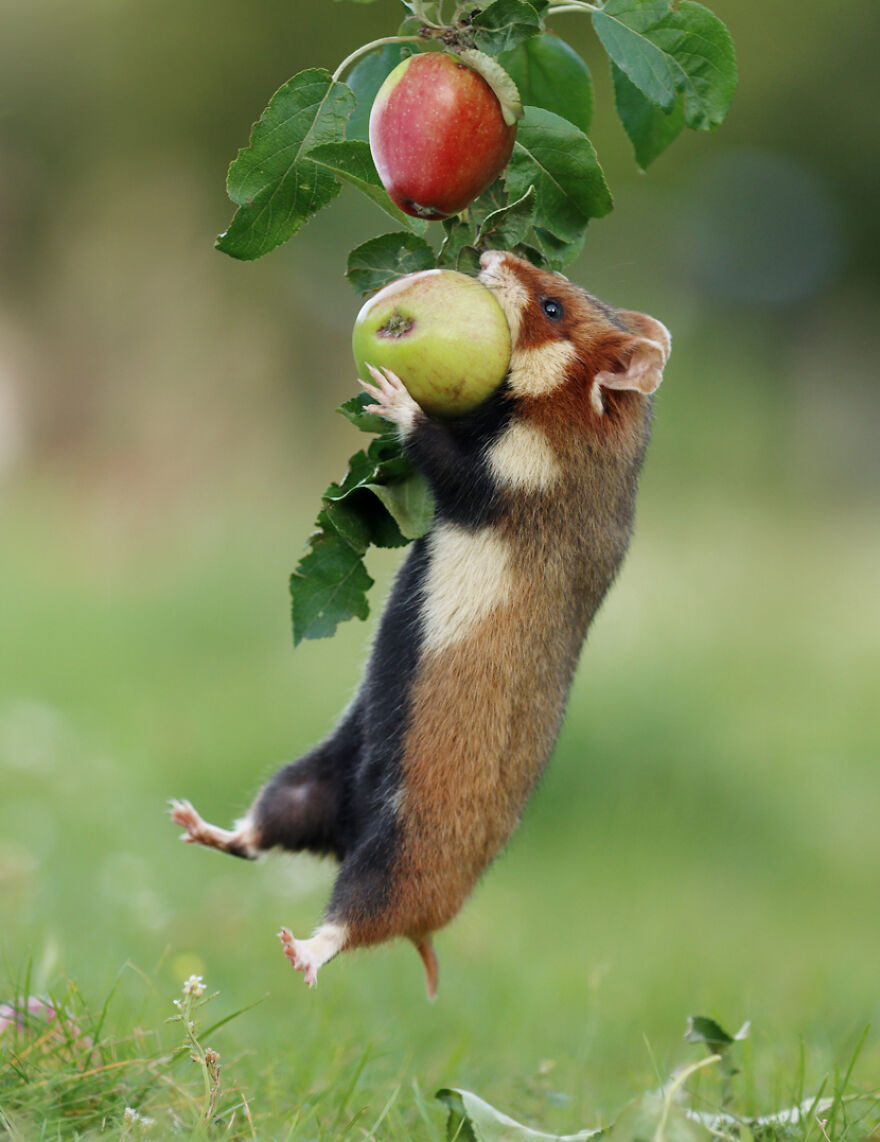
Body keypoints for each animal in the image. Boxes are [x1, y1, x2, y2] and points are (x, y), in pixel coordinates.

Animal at [170, 249, 670, 998]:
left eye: (552, 307)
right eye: (553, 282)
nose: (493, 255)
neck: (591, 445)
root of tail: (351, 829)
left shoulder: (507, 476)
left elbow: (439, 449)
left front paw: (393, 394)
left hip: (394, 860)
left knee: (351, 921)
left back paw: (300, 952)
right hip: (310, 778)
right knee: (256, 835)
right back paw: (191, 822)